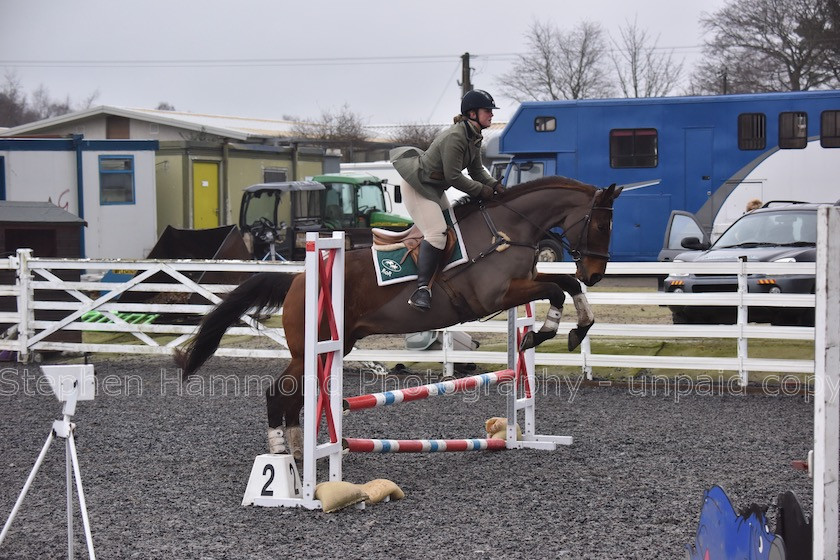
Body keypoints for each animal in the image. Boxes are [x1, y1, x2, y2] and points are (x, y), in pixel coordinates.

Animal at [176, 177, 624, 458]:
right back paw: (282, 460)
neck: (506, 229)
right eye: (602, 223)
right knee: (279, 393)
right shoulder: (496, 295)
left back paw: (300, 454)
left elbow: (566, 284)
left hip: (329, 348)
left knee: (292, 396)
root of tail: (298, 278)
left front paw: (576, 328)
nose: (596, 273)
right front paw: (546, 332)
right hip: (309, 349)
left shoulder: (524, 282)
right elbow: (556, 290)